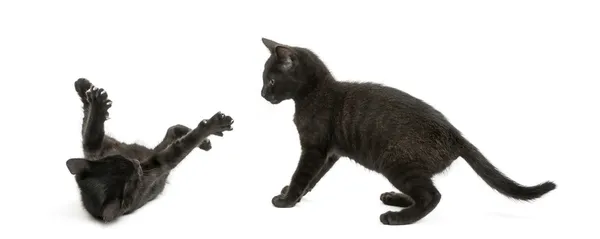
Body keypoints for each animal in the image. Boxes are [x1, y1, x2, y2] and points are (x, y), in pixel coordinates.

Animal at [67, 78, 233, 222]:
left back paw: (86, 89)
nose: (136, 164)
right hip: (156, 156)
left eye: (120, 160)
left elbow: (91, 132)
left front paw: (95, 101)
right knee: (174, 136)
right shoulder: (160, 165)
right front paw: (213, 125)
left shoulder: (95, 149)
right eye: (132, 180)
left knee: (172, 130)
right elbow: (185, 144)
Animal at [260, 38, 556, 225]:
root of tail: (457, 136)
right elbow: (314, 178)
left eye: (271, 80)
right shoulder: (329, 153)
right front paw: (294, 195)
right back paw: (395, 198)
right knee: (424, 190)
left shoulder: (314, 148)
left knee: (432, 196)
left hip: (396, 163)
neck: (313, 94)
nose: (262, 94)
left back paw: (398, 218)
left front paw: (287, 200)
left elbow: (302, 175)